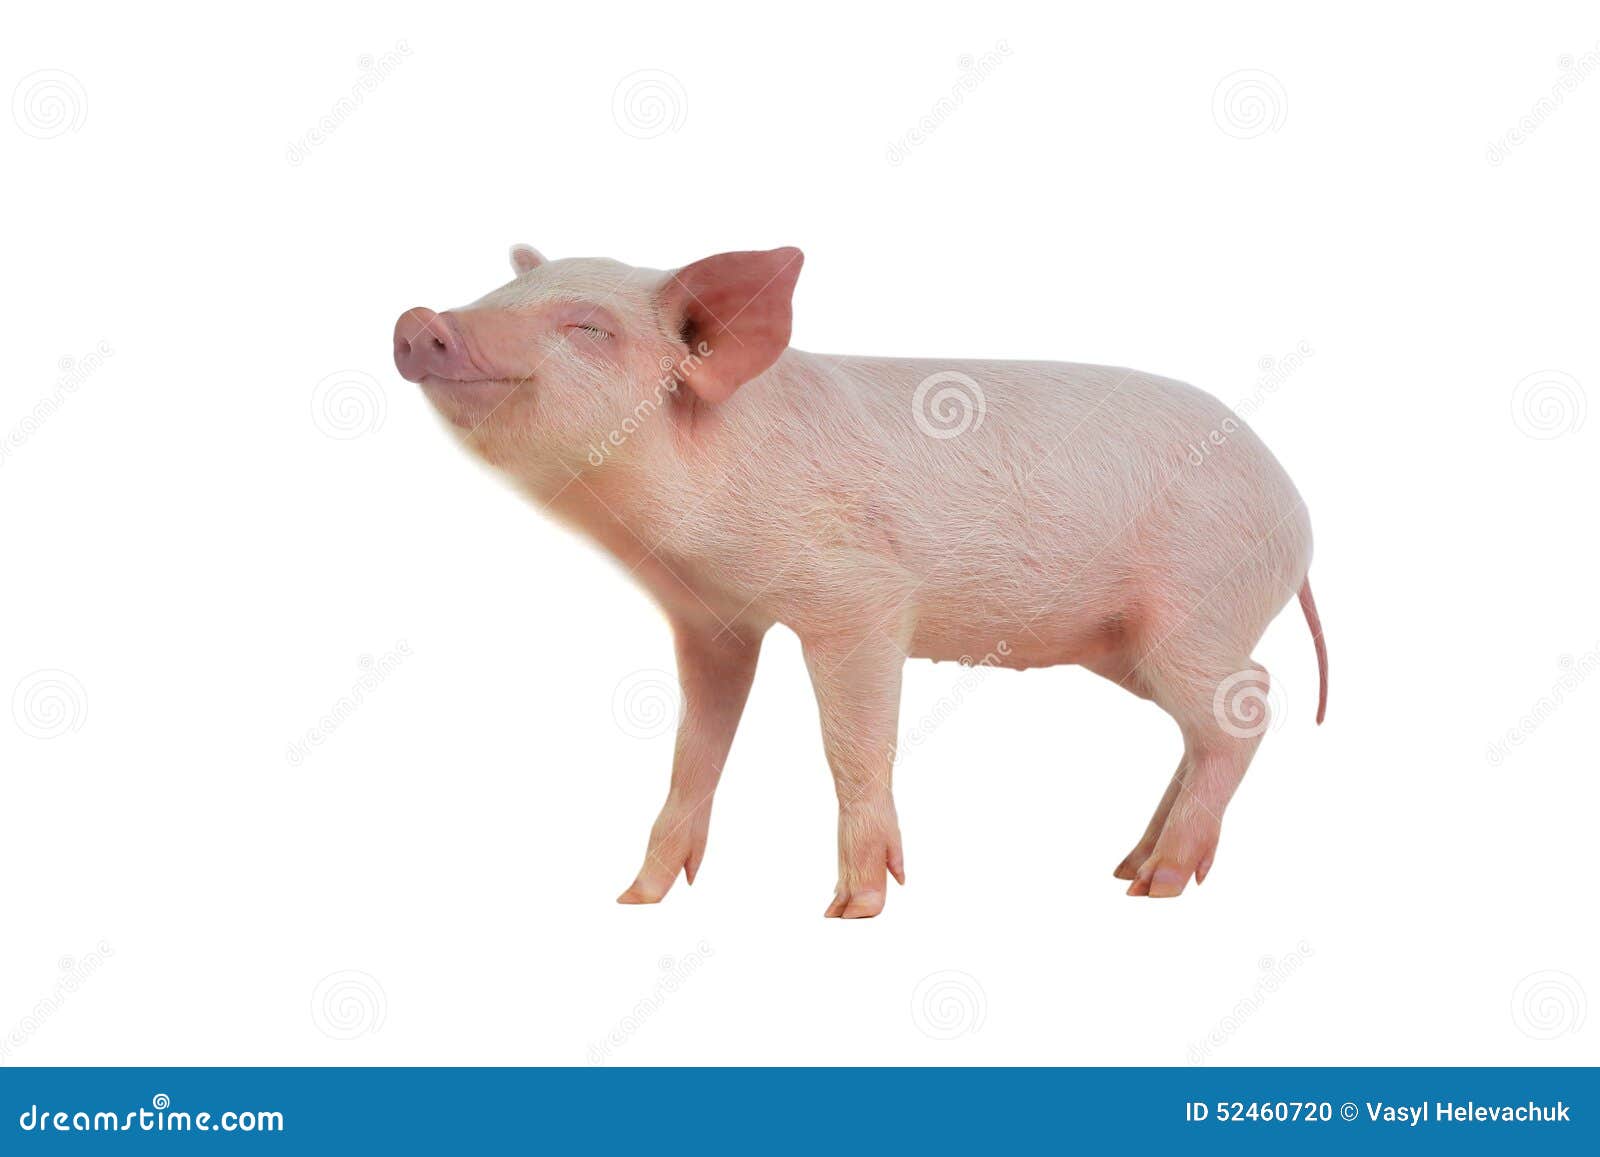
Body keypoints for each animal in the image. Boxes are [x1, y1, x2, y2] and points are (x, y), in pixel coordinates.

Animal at [393, 245, 1327, 917]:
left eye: (587, 327)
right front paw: (636, 896)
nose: (416, 317)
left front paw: (853, 907)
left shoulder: (860, 600)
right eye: (499, 289)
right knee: (1205, 725)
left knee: (1249, 704)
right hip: (1126, 644)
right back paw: (1127, 866)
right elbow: (696, 748)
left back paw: (1158, 884)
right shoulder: (712, 620)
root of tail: (1298, 516)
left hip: (1195, 605)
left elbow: (852, 743)